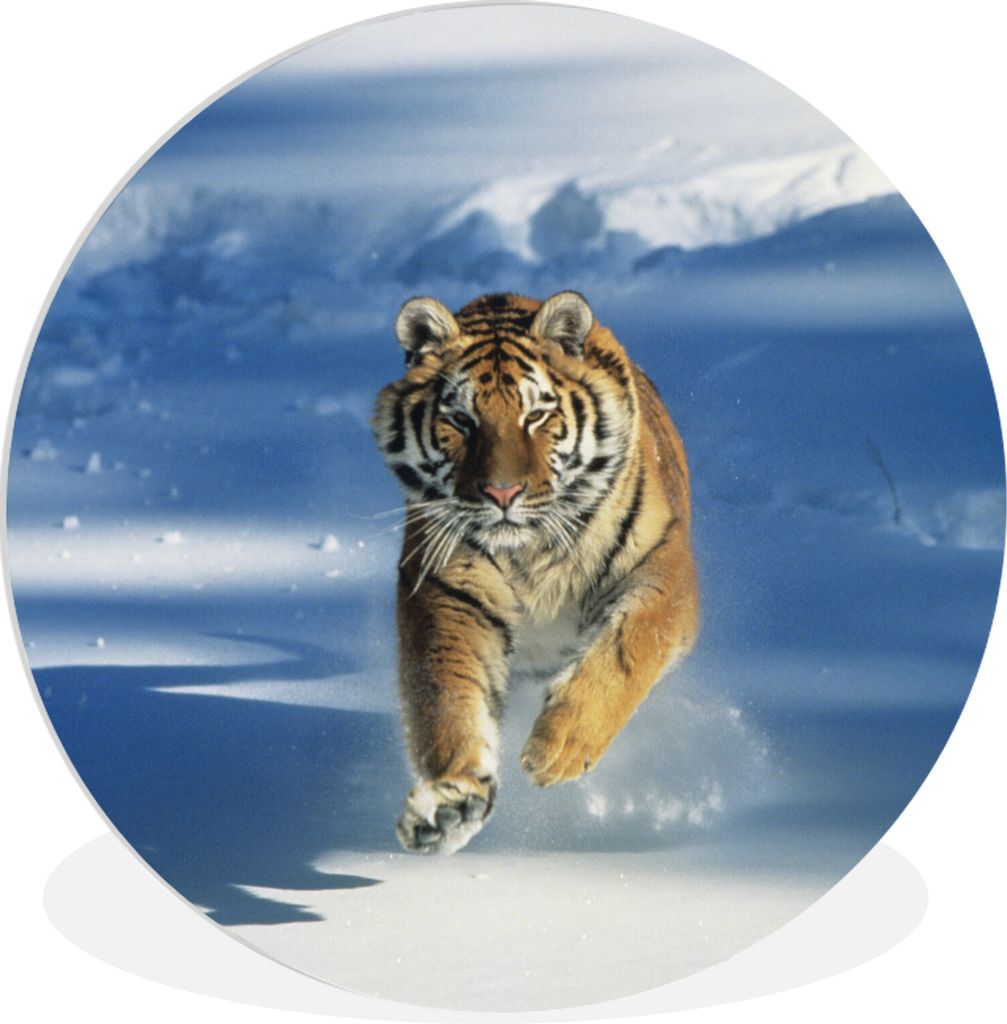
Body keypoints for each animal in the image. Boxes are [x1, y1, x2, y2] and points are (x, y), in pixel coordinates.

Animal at [373, 291, 699, 854]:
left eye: (537, 415)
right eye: (461, 420)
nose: (502, 494)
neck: (532, 552)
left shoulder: (664, 570)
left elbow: (629, 648)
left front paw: (560, 747)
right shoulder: (448, 593)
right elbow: (448, 699)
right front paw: (451, 805)